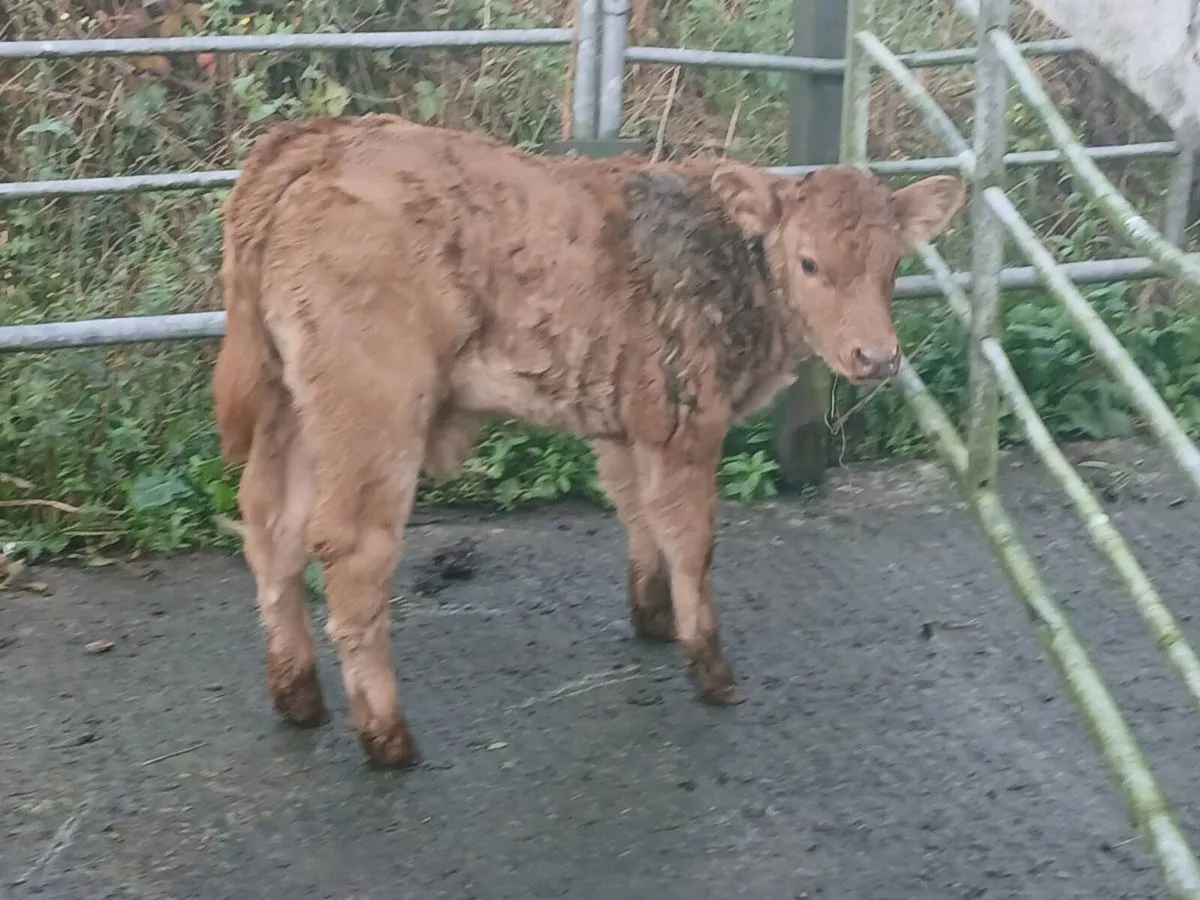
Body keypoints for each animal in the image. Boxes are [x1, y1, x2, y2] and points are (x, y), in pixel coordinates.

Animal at [211, 113, 964, 768]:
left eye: (893, 264)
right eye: (808, 263)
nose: (876, 357)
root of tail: (319, 139)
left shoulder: (631, 420)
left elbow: (638, 513)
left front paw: (653, 614)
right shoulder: (689, 420)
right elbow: (691, 539)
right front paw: (710, 666)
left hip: (292, 406)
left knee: (271, 524)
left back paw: (296, 693)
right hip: (375, 408)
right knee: (350, 547)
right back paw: (386, 736)